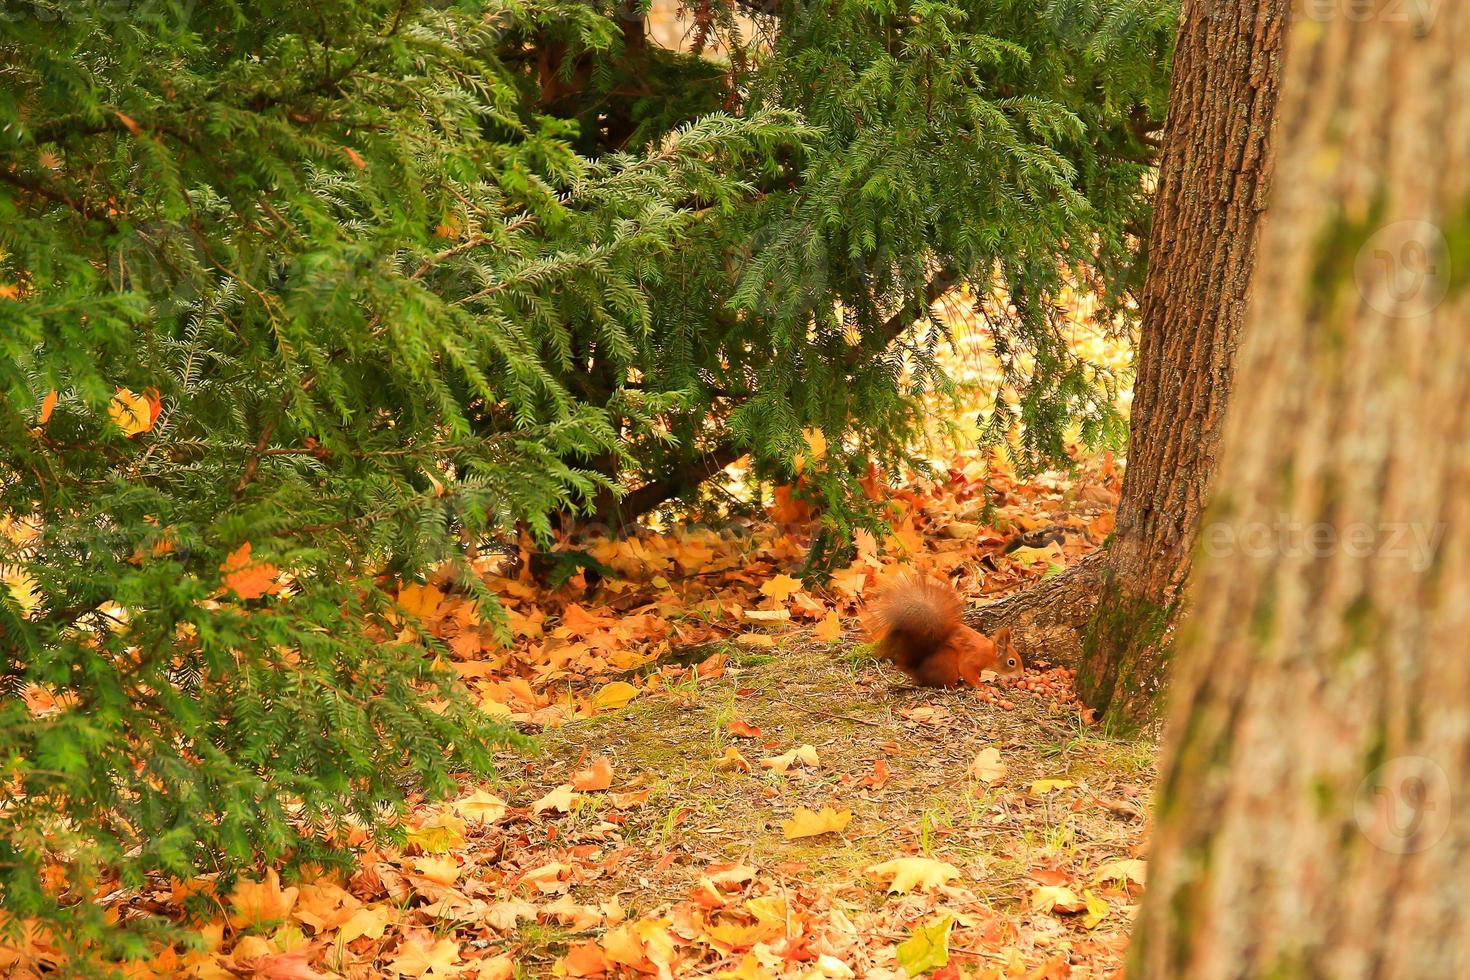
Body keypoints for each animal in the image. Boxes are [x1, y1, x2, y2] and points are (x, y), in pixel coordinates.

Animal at [858, 575, 1023, 690]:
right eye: (1011, 662)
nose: (1021, 676)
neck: (988, 653)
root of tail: (917, 673)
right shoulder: (973, 658)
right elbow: (967, 670)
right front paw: (980, 685)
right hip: (948, 662)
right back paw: (957, 686)